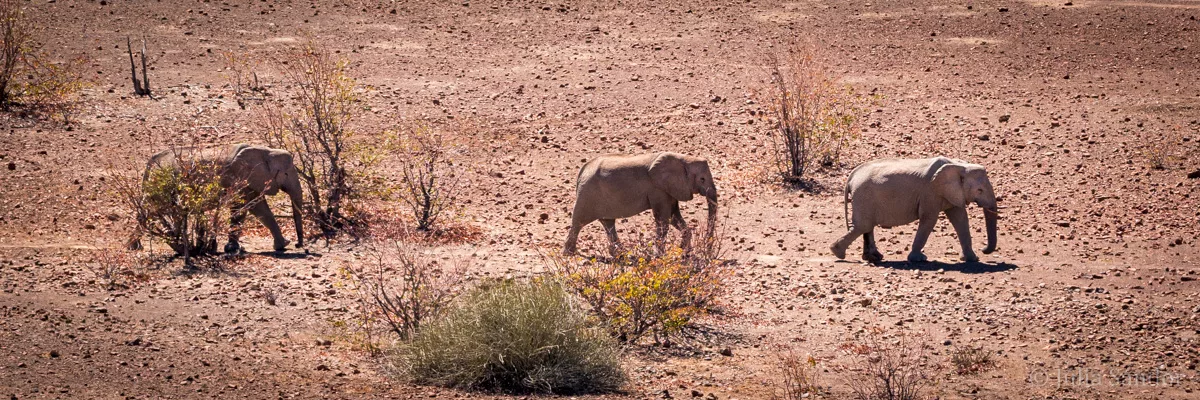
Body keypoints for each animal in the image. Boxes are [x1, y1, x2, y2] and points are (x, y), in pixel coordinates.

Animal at [128, 144, 305, 253]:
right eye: (286, 173)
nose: (298, 244)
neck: (266, 150)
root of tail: (151, 162)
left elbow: (259, 210)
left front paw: (282, 245)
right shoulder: (238, 178)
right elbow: (245, 208)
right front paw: (233, 249)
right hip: (158, 185)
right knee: (149, 210)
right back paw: (133, 248)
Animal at [563, 152, 717, 255]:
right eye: (702, 179)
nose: (707, 251)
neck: (684, 159)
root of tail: (582, 171)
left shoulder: (669, 189)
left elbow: (673, 217)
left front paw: (683, 251)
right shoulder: (657, 189)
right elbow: (663, 219)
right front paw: (661, 256)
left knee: (608, 223)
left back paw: (620, 254)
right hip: (587, 195)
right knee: (579, 222)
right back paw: (569, 253)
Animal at [830, 156, 998, 264]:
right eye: (980, 190)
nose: (984, 249)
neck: (959, 165)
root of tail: (852, 176)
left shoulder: (951, 192)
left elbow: (960, 219)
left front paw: (972, 259)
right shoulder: (931, 192)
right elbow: (929, 219)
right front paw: (919, 260)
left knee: (866, 227)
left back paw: (874, 258)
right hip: (863, 196)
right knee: (862, 226)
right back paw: (838, 253)